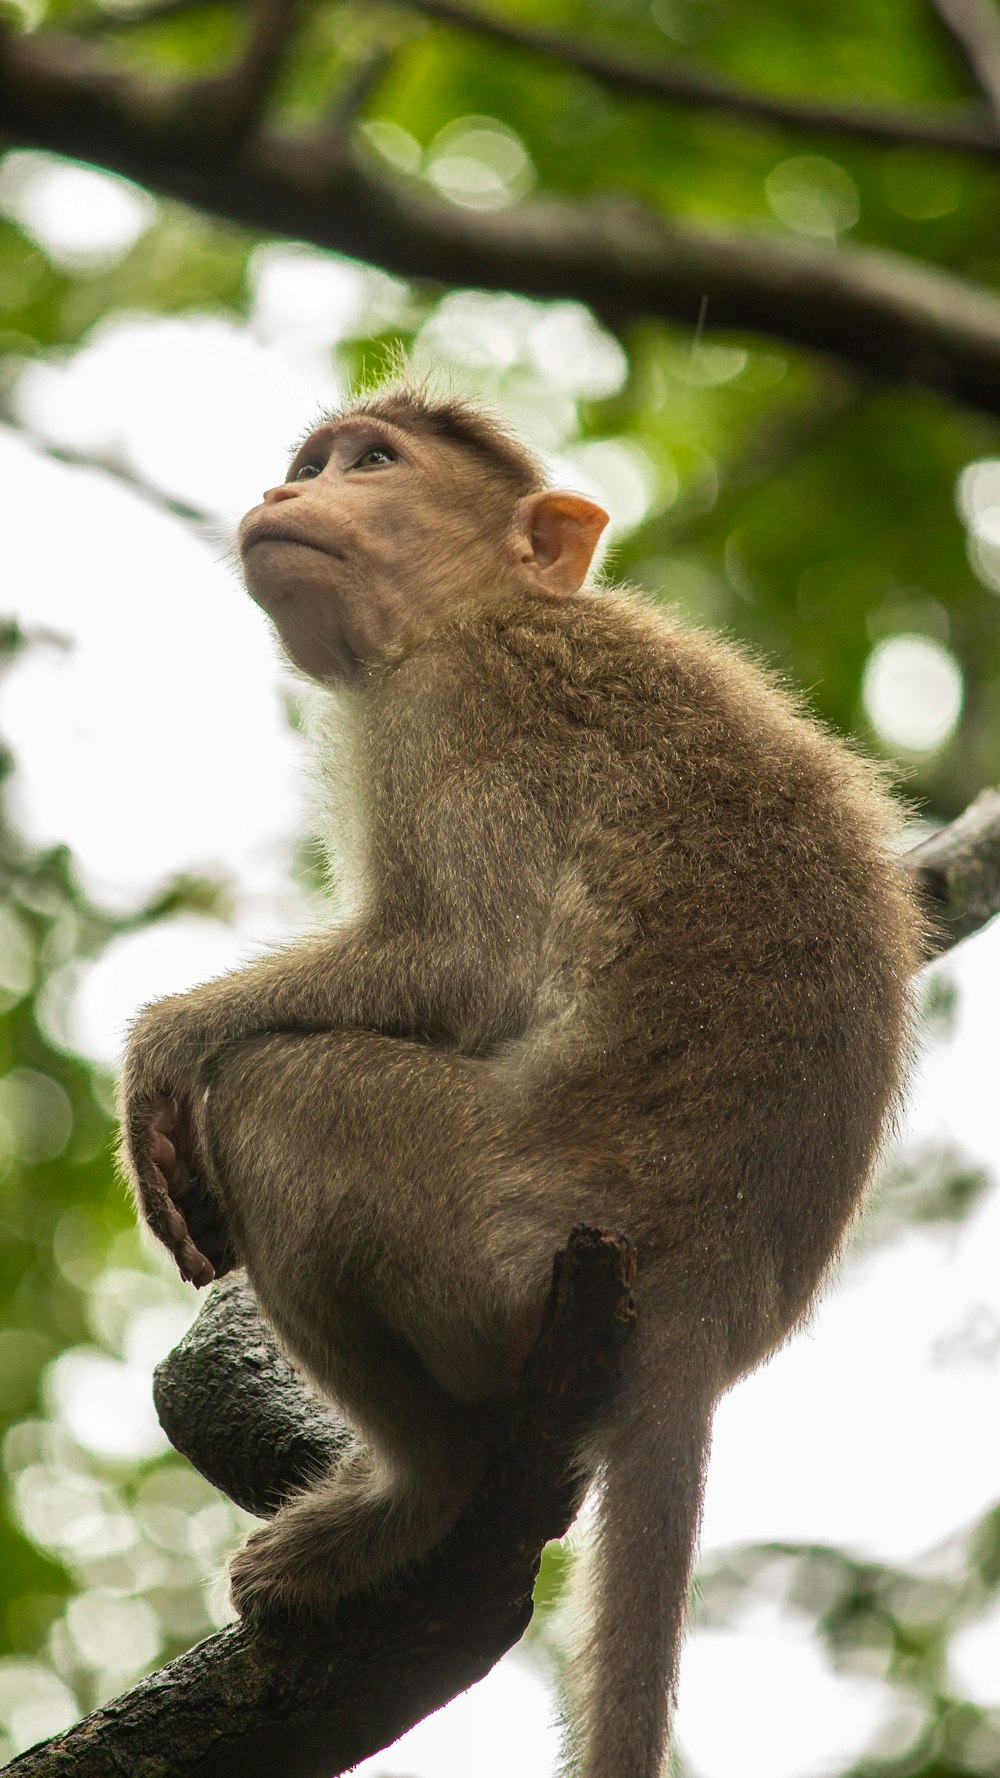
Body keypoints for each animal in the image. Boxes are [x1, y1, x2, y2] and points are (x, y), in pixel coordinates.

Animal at [120, 389, 925, 1778]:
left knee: (284, 1094)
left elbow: (461, 958)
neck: (482, 607)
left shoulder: (459, 701)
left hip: (497, 1235)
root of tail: (700, 1315)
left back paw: (416, 1491)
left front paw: (165, 1041)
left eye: (371, 464)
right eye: (312, 463)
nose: (285, 497)